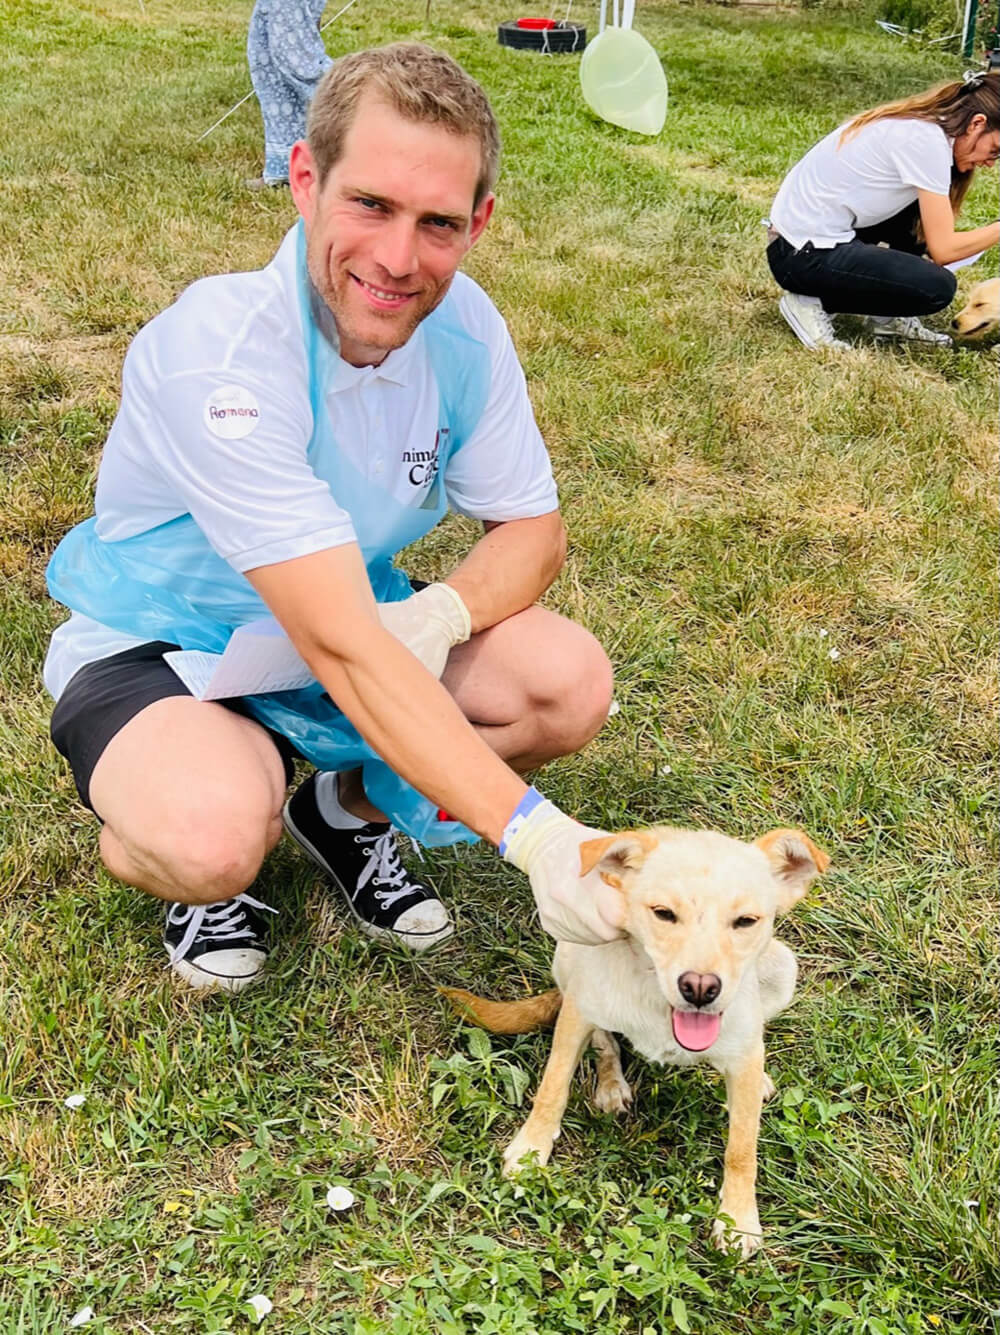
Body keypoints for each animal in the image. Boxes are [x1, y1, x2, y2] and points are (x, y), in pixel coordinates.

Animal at [444, 825, 829, 1257]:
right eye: (663, 913)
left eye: (745, 921)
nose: (700, 988)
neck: (659, 1002)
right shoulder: (577, 1012)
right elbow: (552, 1088)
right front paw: (531, 1149)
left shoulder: (743, 1051)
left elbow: (742, 1149)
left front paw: (738, 1220)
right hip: (572, 960)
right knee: (604, 1041)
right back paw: (611, 1084)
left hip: (783, 968)